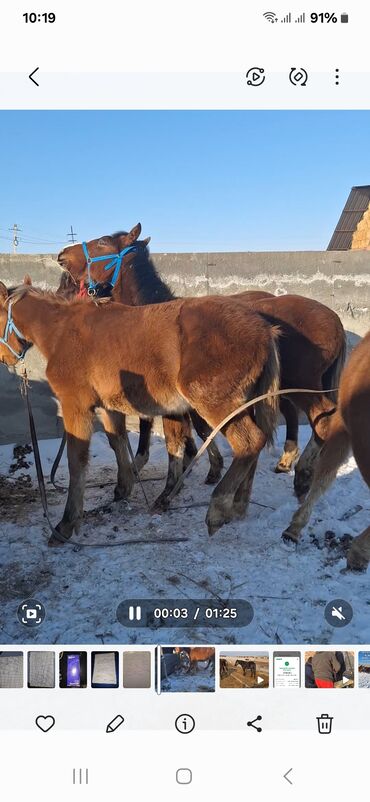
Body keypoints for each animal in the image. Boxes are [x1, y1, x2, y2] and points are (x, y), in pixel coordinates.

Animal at [0, 278, 278, 540]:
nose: (6, 359)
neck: (62, 331)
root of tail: (266, 331)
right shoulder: (109, 408)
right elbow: (118, 442)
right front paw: (122, 489)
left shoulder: (75, 406)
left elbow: (76, 460)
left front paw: (66, 524)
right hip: (242, 404)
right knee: (254, 445)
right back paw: (238, 506)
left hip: (215, 403)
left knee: (249, 442)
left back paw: (218, 510)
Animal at [56, 223, 346, 494]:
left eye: (103, 242)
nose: (62, 255)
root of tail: (335, 321)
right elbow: (193, 428)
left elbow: (169, 427)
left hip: (301, 384)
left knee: (321, 417)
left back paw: (303, 473)